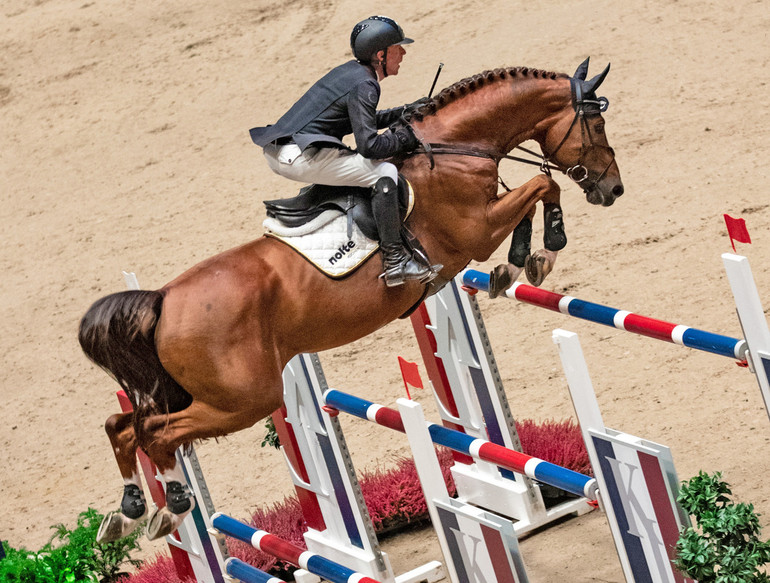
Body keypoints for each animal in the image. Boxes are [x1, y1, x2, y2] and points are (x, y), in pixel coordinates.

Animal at [79, 58, 616, 544]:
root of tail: (163, 300)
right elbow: (543, 185)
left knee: (123, 425)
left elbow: (535, 193)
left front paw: (518, 262)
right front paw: (540, 252)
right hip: (246, 399)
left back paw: (128, 513)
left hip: (188, 390)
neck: (455, 147)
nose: (613, 188)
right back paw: (171, 507)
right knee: (157, 432)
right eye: (596, 122)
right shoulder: (475, 232)